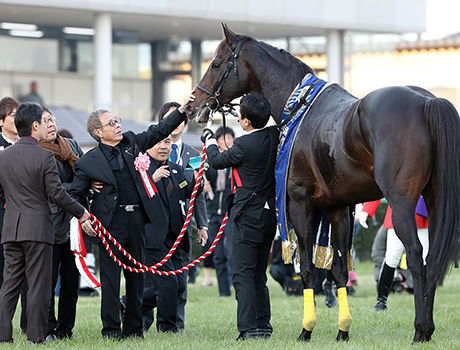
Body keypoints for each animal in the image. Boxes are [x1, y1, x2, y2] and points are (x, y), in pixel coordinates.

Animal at [185, 24, 460, 342]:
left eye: (216, 64)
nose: (193, 104)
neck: (300, 107)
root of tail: (428, 101)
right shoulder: (337, 210)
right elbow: (338, 270)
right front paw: (343, 330)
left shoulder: (301, 205)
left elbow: (307, 269)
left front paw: (307, 329)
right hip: (435, 199)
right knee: (433, 257)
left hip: (402, 201)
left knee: (415, 255)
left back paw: (421, 328)